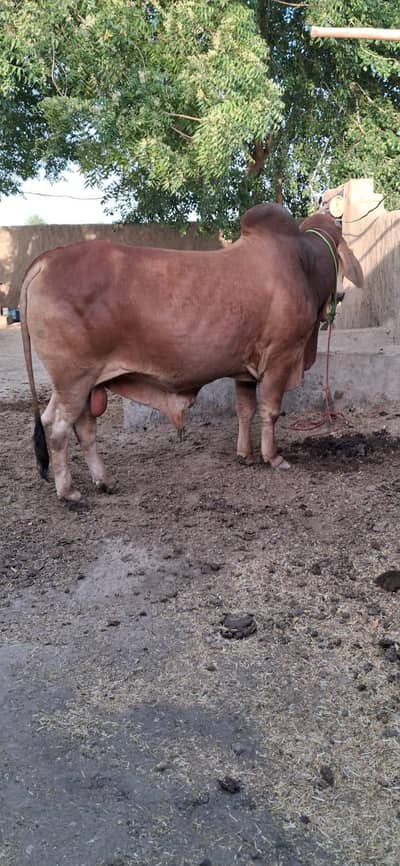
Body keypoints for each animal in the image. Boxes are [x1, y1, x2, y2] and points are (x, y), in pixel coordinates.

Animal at [20, 203, 363, 502]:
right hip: (73, 379)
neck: (305, 262)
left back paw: (104, 480)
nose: (342, 295)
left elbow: (245, 410)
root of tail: (46, 259)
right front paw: (273, 457)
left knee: (85, 428)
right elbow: (270, 410)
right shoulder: (281, 357)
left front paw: (246, 454)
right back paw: (68, 492)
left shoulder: (244, 369)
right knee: (56, 427)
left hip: (86, 383)